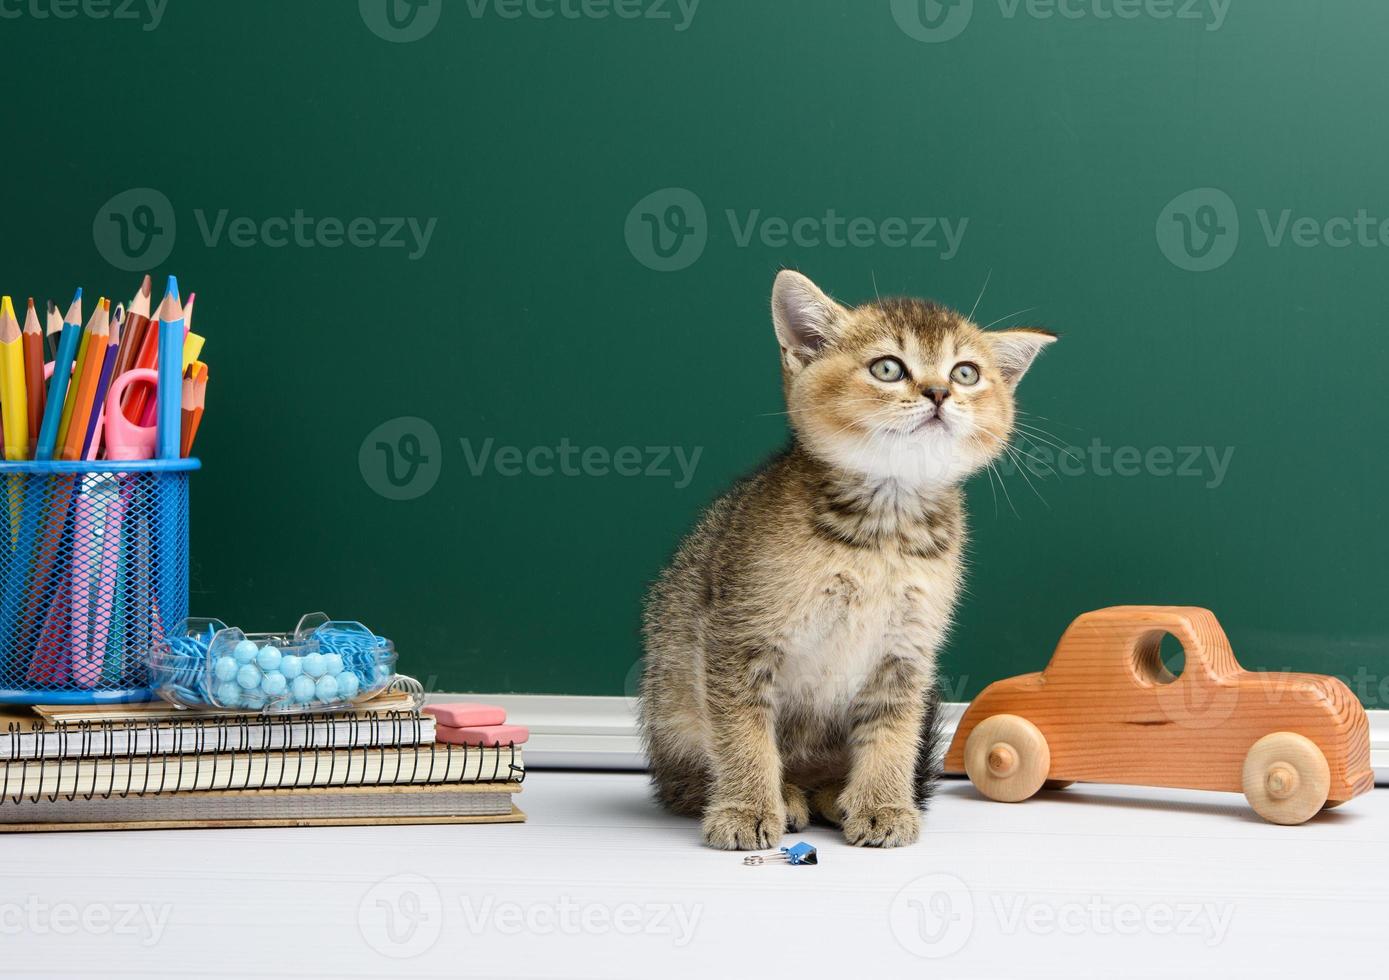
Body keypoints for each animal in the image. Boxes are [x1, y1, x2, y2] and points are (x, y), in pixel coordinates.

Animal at [638, 269, 1050, 849]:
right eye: (888, 368)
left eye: (966, 373)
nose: (940, 392)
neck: (883, 536)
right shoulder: (736, 635)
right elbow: (742, 730)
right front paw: (745, 809)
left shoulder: (906, 650)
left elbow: (894, 734)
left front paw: (882, 805)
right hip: (672, 706)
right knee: (683, 782)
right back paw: (782, 797)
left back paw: (837, 795)